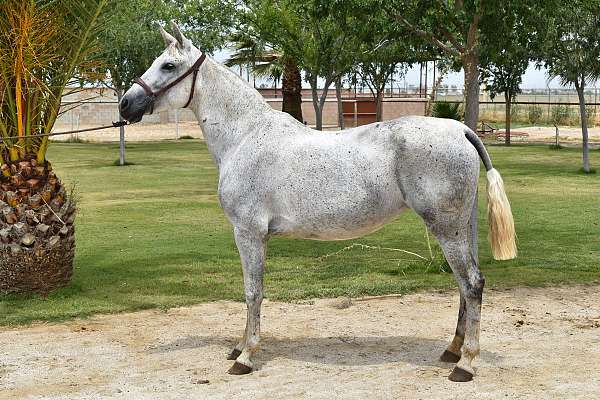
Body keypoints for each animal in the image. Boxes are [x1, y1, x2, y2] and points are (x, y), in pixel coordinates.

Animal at [120, 22, 516, 384]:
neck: (245, 136)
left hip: (445, 228)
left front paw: (245, 357)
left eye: (168, 66)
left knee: (472, 284)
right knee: (465, 285)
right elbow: (250, 291)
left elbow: (252, 291)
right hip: (461, 227)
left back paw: (466, 365)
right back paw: (453, 350)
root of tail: (460, 129)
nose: (126, 104)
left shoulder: (248, 233)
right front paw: (239, 345)